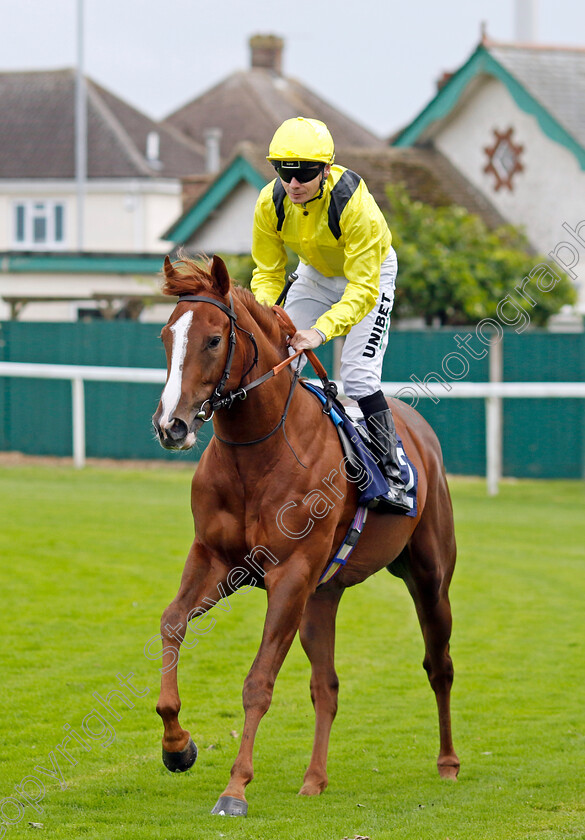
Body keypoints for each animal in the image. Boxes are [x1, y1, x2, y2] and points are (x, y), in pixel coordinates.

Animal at [152, 254, 460, 812]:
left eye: (213, 339)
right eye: (167, 336)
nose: (172, 426)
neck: (258, 454)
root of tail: (417, 428)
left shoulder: (289, 576)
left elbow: (258, 682)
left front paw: (235, 788)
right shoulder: (215, 560)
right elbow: (171, 624)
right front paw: (177, 746)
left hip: (429, 577)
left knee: (438, 664)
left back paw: (448, 762)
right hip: (322, 597)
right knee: (327, 685)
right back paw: (314, 778)